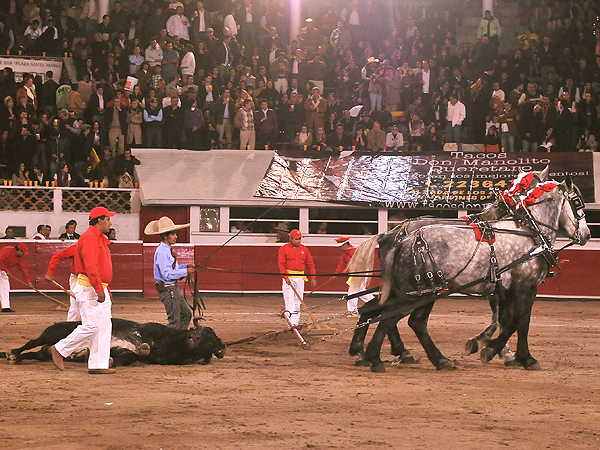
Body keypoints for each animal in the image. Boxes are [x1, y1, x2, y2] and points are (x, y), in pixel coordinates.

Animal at [350, 174, 588, 370]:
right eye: (577, 202)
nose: (587, 234)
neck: (530, 233)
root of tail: (399, 237)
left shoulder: (505, 289)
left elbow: (507, 320)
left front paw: (499, 351)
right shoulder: (525, 287)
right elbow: (520, 321)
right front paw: (515, 355)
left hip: (408, 290)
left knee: (381, 312)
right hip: (418, 292)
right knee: (397, 318)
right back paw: (380, 357)